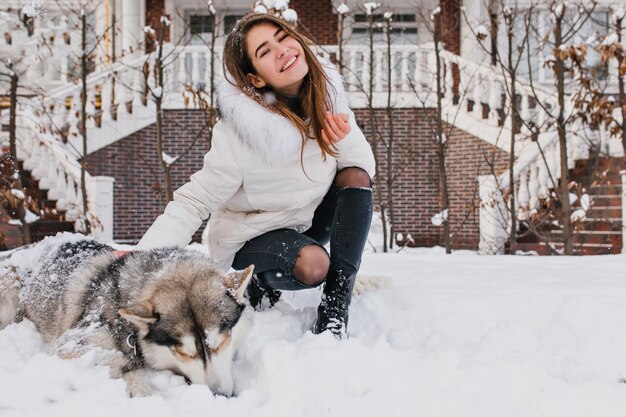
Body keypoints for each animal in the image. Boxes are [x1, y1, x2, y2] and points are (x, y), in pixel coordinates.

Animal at [0, 237, 254, 396]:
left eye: (221, 342)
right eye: (183, 353)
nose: (219, 396)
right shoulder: (71, 343)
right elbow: (114, 360)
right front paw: (137, 384)